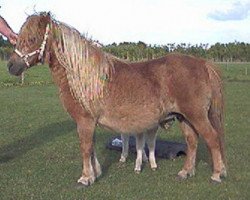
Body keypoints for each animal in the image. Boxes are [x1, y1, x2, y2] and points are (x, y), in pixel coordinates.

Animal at [7, 12, 227, 186]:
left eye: (33, 38)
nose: (11, 66)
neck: (82, 75)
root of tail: (202, 63)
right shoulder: (89, 123)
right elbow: (91, 147)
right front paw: (94, 174)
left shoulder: (84, 121)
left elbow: (85, 148)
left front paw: (85, 178)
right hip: (184, 117)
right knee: (192, 141)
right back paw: (185, 172)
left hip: (196, 116)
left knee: (212, 138)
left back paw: (217, 174)